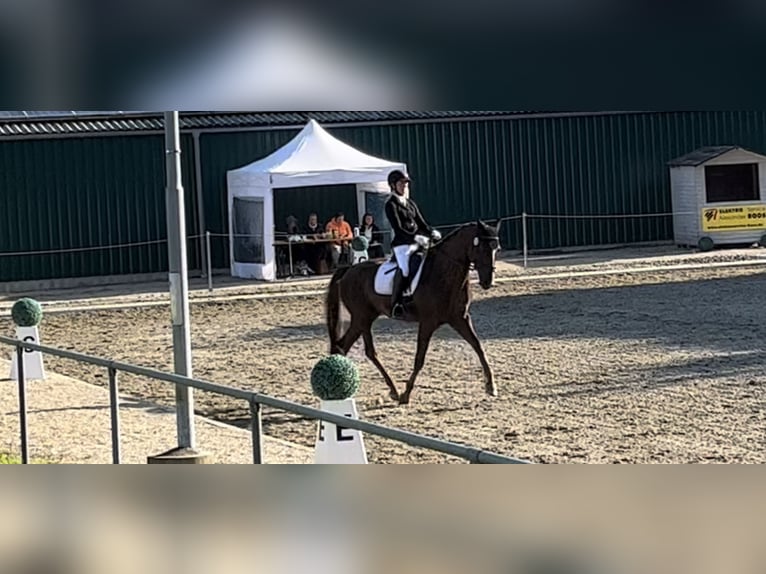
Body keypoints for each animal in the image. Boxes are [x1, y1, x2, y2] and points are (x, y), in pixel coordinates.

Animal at [325, 220, 502, 405]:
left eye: (497, 249)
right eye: (481, 247)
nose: (488, 282)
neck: (444, 273)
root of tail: (348, 270)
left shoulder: (460, 318)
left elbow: (478, 346)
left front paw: (491, 386)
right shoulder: (427, 322)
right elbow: (419, 359)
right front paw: (406, 394)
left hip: (365, 318)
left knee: (346, 346)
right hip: (362, 317)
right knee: (364, 350)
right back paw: (392, 390)